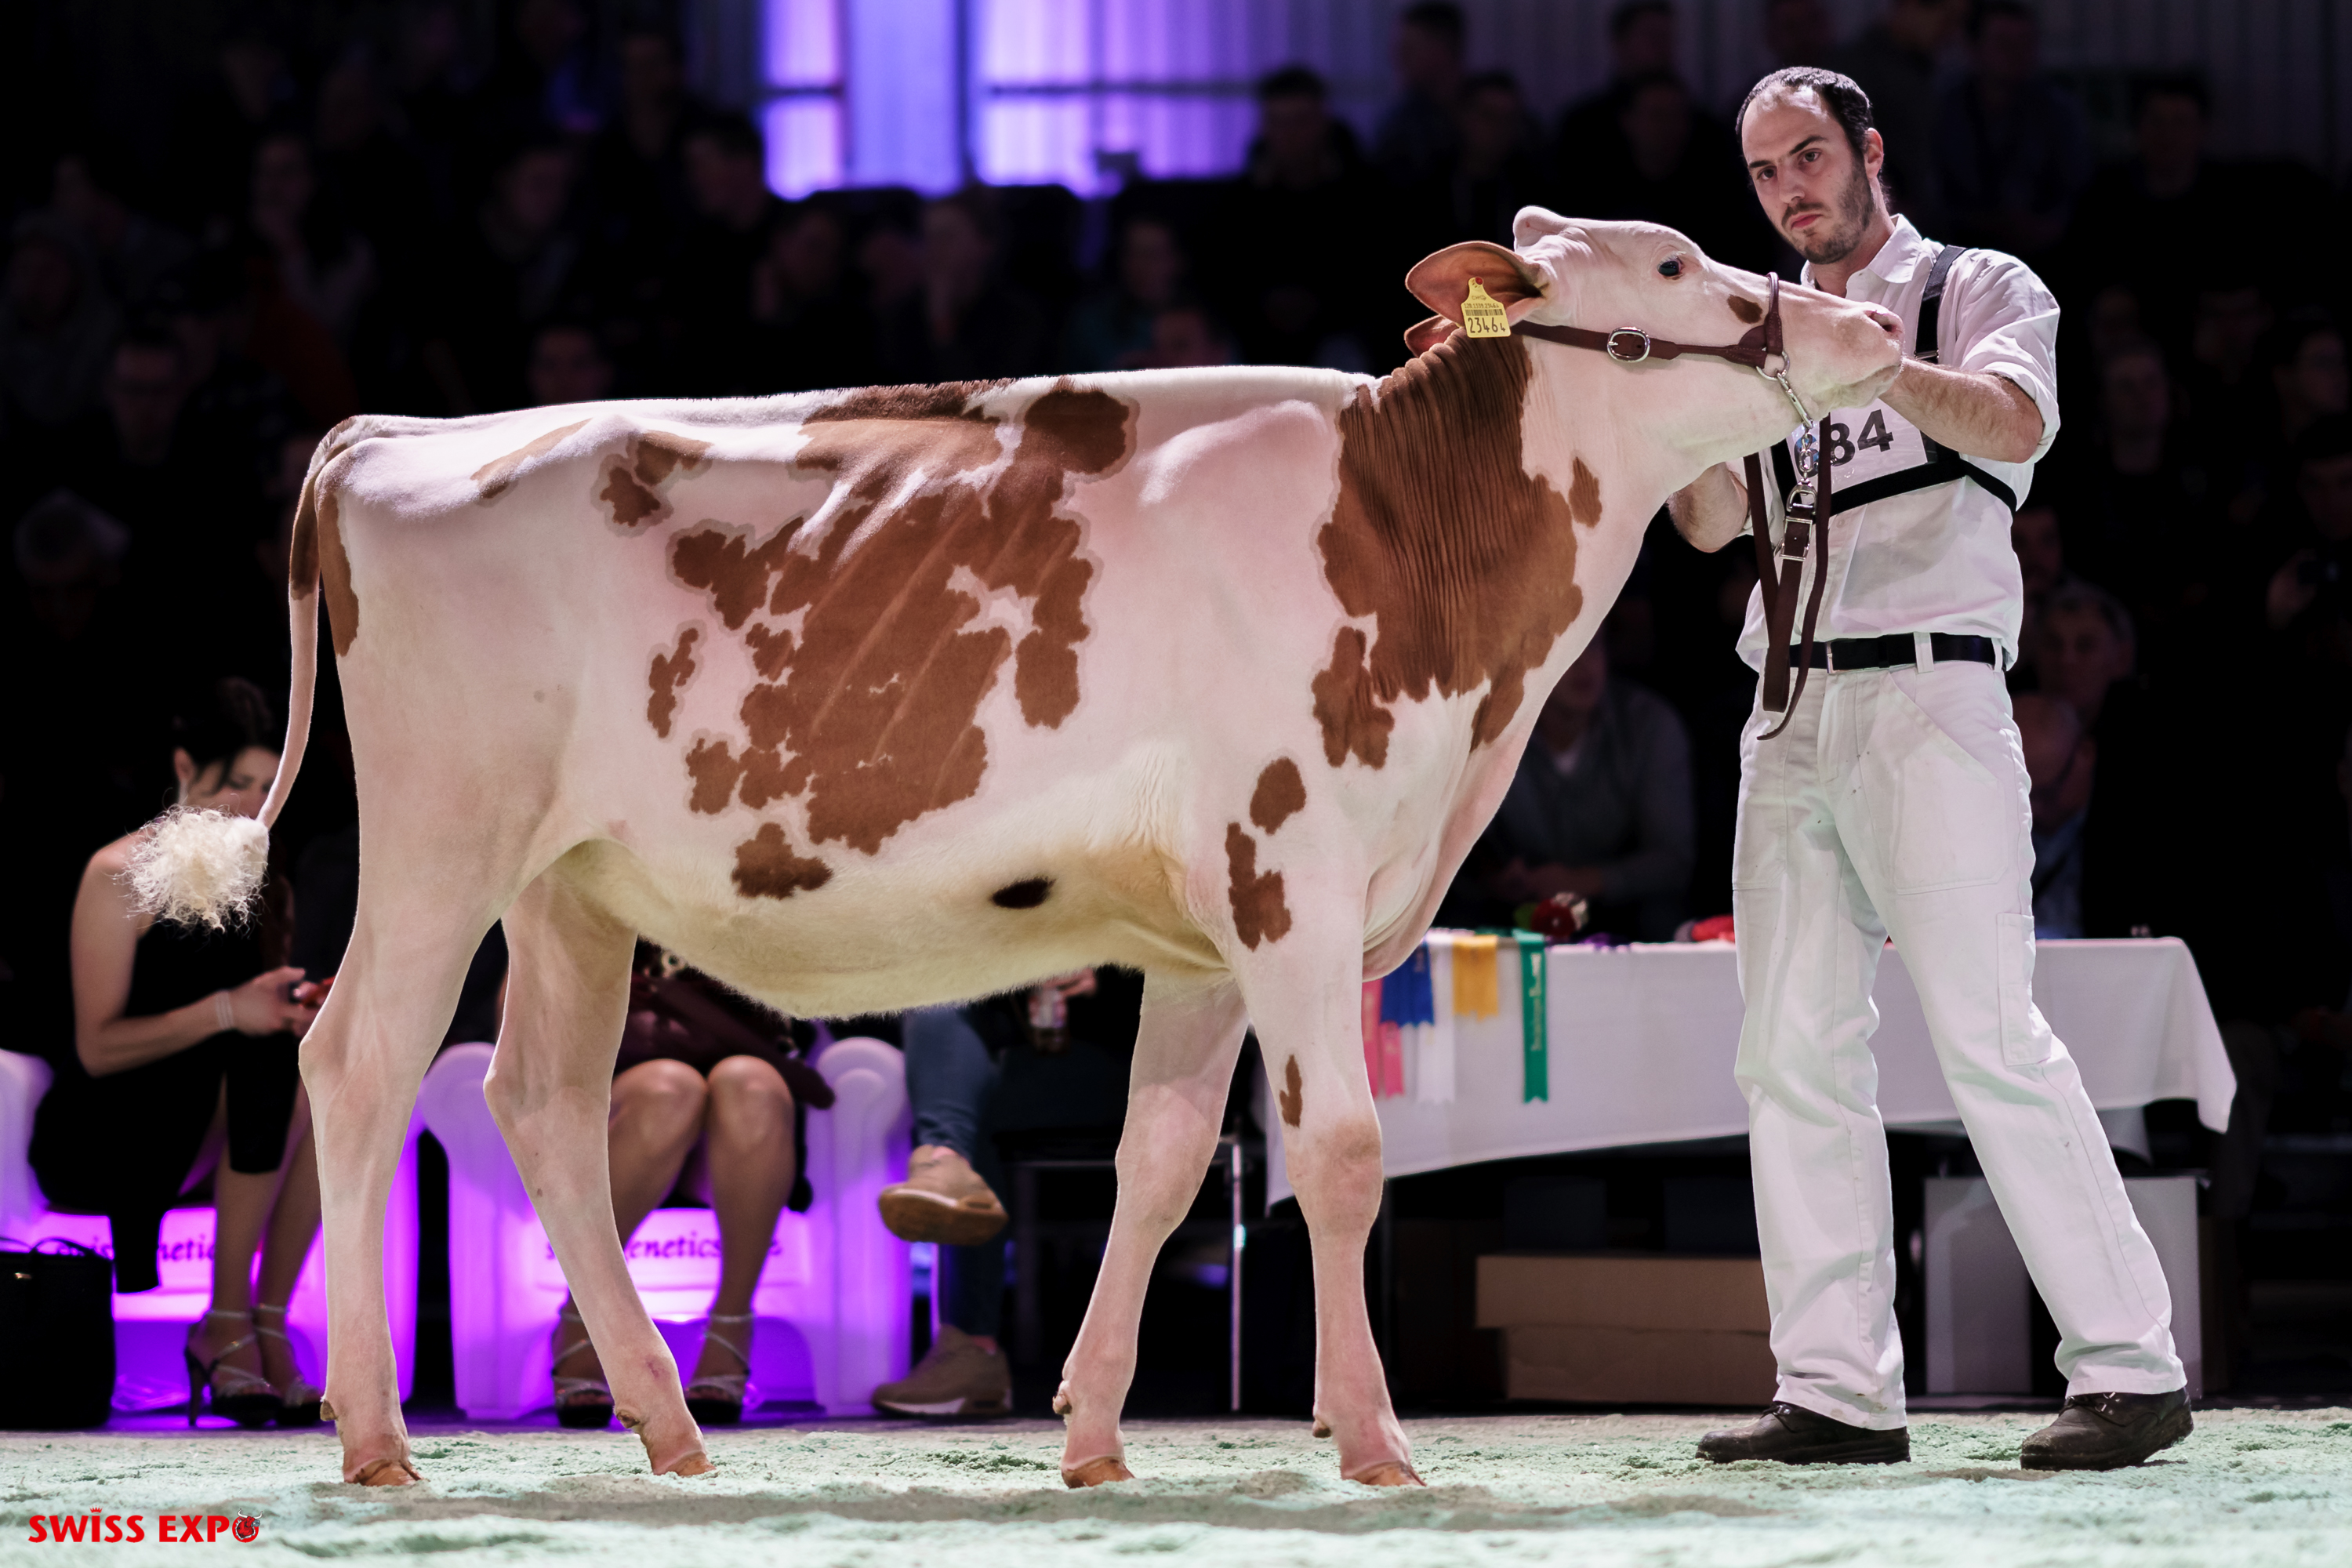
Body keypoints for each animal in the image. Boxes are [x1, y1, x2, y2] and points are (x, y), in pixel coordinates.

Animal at [133, 211, 1900, 1488]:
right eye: (1672, 265)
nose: (1867, 322)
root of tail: (391, 436)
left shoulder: (1210, 926)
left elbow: (1163, 1162)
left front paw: (1099, 1436)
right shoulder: (1297, 872)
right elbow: (1338, 1154)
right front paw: (1379, 1441)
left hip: (570, 885)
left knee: (543, 1105)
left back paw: (671, 1427)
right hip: (444, 838)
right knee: (362, 1065)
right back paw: (379, 1439)